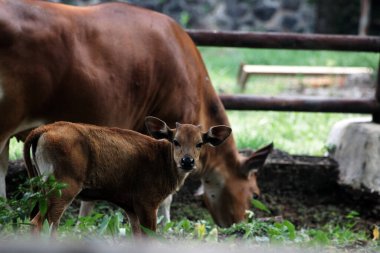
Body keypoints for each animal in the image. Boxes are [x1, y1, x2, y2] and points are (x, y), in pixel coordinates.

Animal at [23, 117, 232, 236]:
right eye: (175, 141)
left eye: (199, 143)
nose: (187, 161)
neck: (162, 162)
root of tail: (43, 130)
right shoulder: (147, 202)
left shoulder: (130, 208)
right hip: (63, 188)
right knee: (41, 224)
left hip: (41, 188)